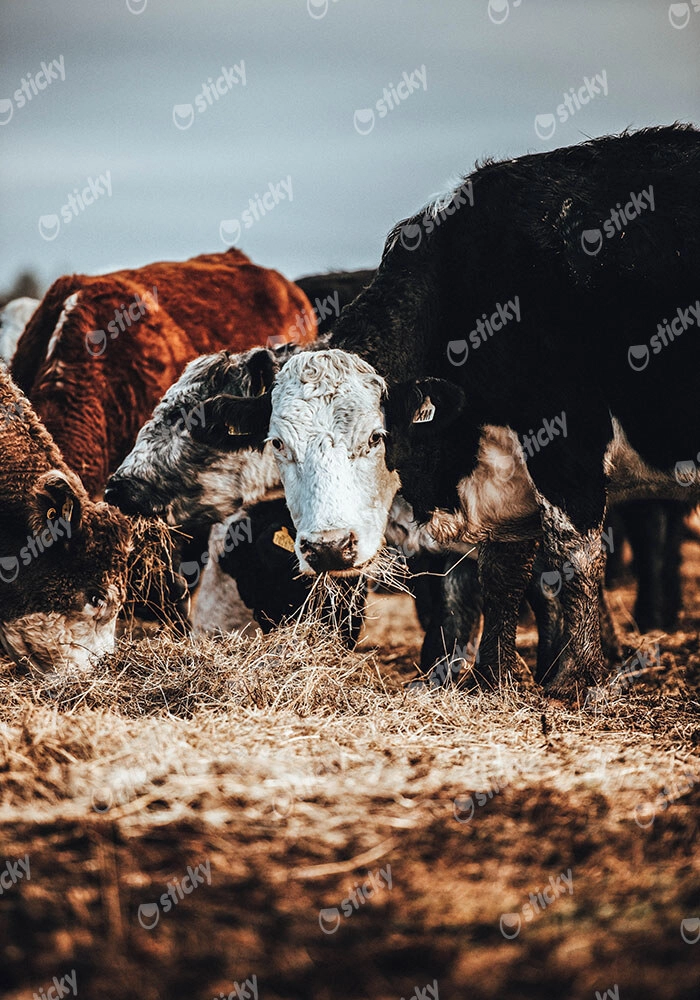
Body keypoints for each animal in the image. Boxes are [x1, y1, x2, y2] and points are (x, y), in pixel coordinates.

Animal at [192, 125, 700, 697]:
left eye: (377, 437)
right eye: (278, 443)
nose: (328, 548)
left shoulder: (566, 439)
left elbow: (575, 555)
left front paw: (575, 676)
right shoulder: (503, 482)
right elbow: (496, 576)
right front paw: (484, 678)